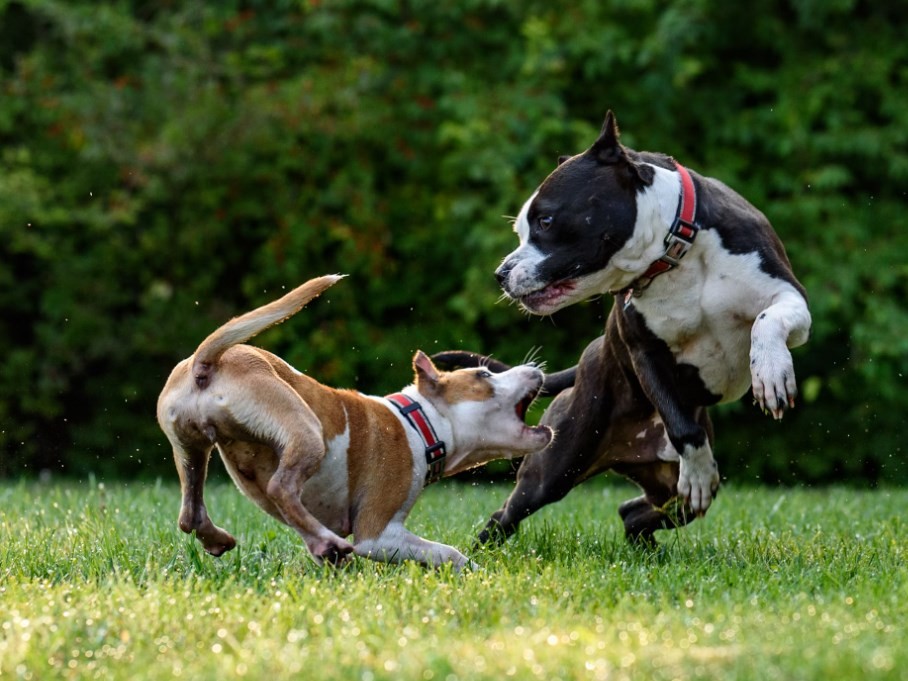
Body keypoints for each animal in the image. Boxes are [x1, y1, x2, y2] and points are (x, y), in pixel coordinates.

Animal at [157, 274, 552, 564]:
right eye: (484, 375)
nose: (535, 368)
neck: (419, 422)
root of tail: (205, 362)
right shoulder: (378, 534)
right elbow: (449, 554)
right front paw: (473, 572)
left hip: (191, 448)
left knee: (190, 513)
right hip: (305, 429)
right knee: (280, 487)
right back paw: (327, 542)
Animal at [436, 111, 812, 540]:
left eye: (545, 221)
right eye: (521, 230)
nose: (500, 274)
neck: (675, 253)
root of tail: (588, 357)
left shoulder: (790, 296)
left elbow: (767, 320)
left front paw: (771, 372)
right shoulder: (644, 352)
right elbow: (683, 428)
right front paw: (699, 472)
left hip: (664, 488)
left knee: (637, 511)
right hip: (555, 466)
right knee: (508, 514)